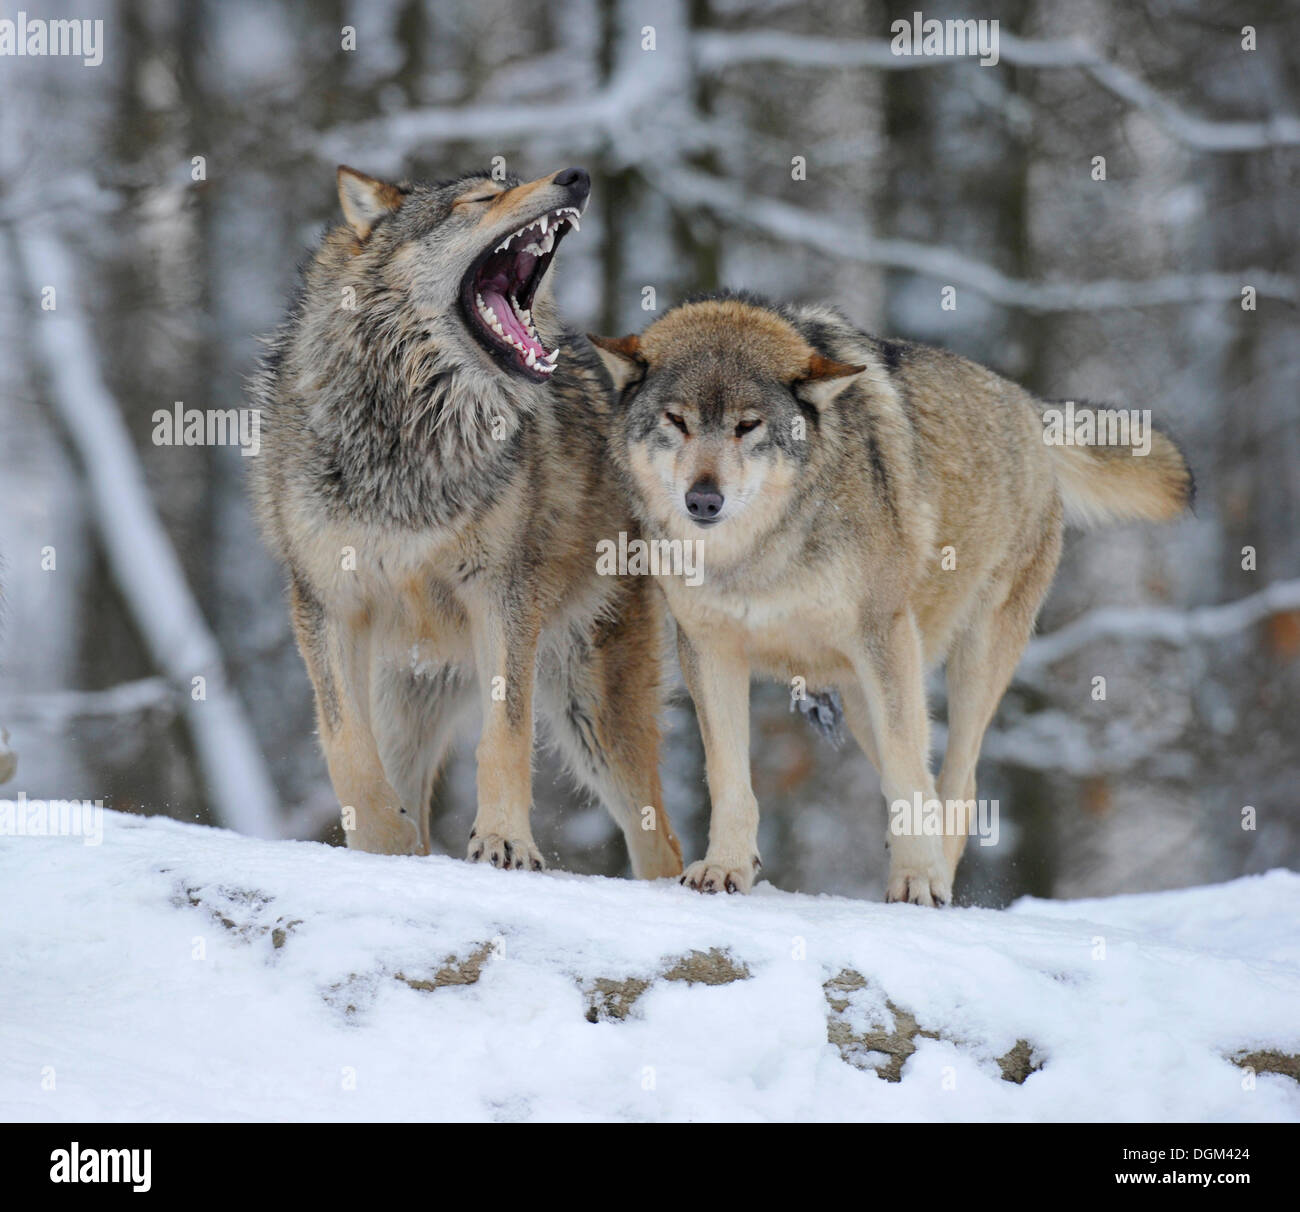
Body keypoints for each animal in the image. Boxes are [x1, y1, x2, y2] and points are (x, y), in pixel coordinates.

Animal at [246, 163, 686, 879]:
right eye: (481, 199)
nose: (577, 176)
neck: (415, 423)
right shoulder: (325, 602)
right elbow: (346, 745)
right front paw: (384, 844)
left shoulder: (503, 595)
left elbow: (503, 735)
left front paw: (505, 842)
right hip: (408, 696)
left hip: (592, 709)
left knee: (662, 843)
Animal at [595, 291, 1190, 899]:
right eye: (677, 421)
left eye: (747, 426)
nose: (703, 500)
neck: (757, 556)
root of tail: (1027, 404)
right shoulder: (709, 649)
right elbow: (729, 777)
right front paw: (724, 868)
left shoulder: (883, 635)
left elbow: (909, 772)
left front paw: (919, 880)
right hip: (861, 694)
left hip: (960, 662)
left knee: (955, 785)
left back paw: (936, 878)